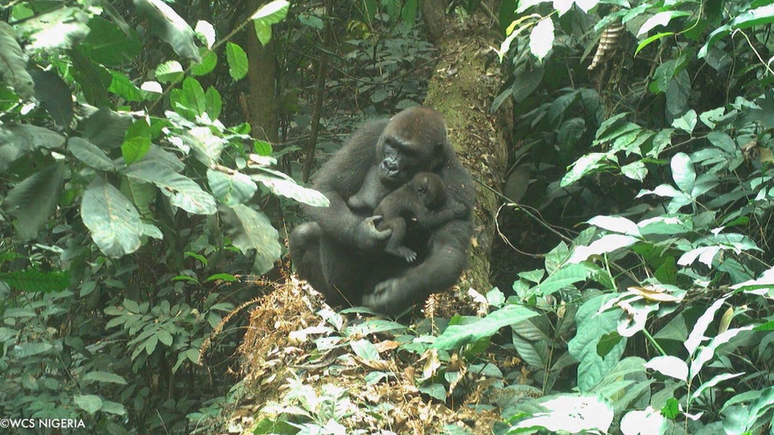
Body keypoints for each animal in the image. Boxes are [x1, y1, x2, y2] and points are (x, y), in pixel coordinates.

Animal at [288, 107, 476, 316]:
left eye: (409, 152)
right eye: (391, 145)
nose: (390, 165)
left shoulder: (457, 181)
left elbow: (448, 251)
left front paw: (395, 293)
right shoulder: (369, 136)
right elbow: (326, 190)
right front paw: (364, 235)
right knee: (304, 235)